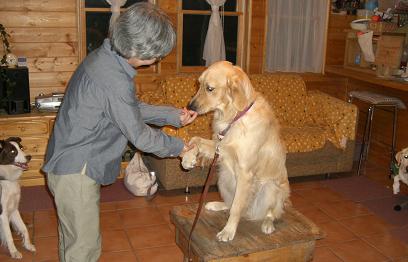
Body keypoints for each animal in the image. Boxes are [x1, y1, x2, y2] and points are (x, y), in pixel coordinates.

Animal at [182, 61, 290, 242]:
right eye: (198, 84)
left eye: (210, 88)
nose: (190, 106)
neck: (235, 116)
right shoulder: (220, 146)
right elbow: (195, 139)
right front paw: (188, 159)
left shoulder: (245, 172)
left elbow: (237, 208)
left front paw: (228, 231)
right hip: (223, 177)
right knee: (229, 202)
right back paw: (216, 205)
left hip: (270, 188)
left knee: (271, 213)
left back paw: (267, 224)